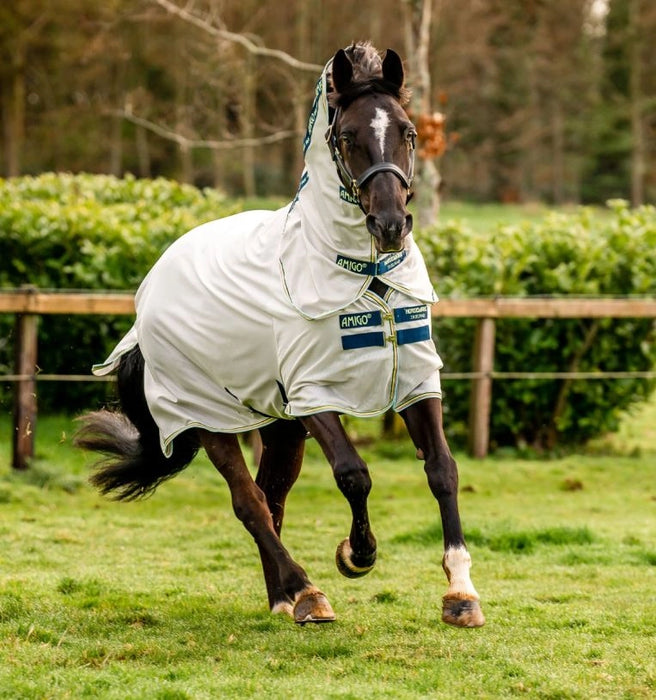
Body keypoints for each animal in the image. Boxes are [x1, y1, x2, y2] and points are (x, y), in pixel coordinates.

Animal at [78, 41, 486, 628]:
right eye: (346, 137)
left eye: (408, 132)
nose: (389, 225)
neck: (365, 277)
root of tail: (152, 285)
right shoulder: (315, 396)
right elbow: (354, 474)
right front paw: (356, 555)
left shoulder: (414, 383)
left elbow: (443, 471)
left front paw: (460, 592)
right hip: (210, 419)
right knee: (249, 502)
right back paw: (306, 592)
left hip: (281, 426)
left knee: (272, 498)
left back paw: (284, 598)